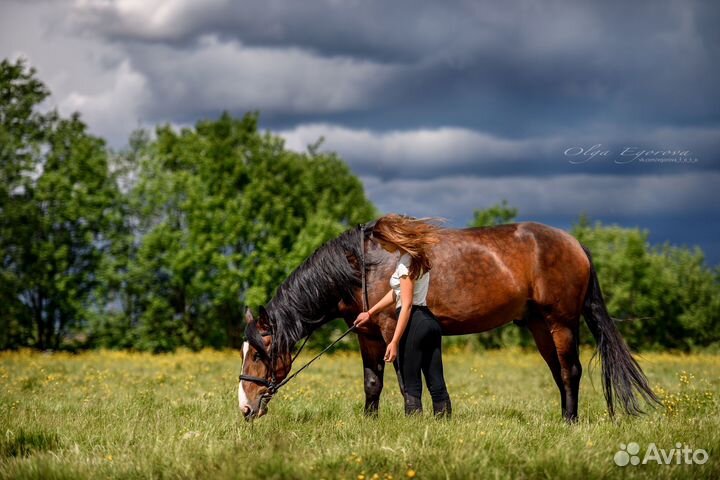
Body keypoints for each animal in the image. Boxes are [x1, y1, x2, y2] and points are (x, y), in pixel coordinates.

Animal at [238, 220, 661, 422]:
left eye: (258, 354)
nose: (245, 407)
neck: (363, 263)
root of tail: (575, 244)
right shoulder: (367, 333)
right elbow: (373, 382)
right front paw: (370, 422)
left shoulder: (391, 329)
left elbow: (404, 380)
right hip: (540, 325)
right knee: (559, 372)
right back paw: (563, 417)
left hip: (561, 322)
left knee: (570, 371)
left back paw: (570, 421)